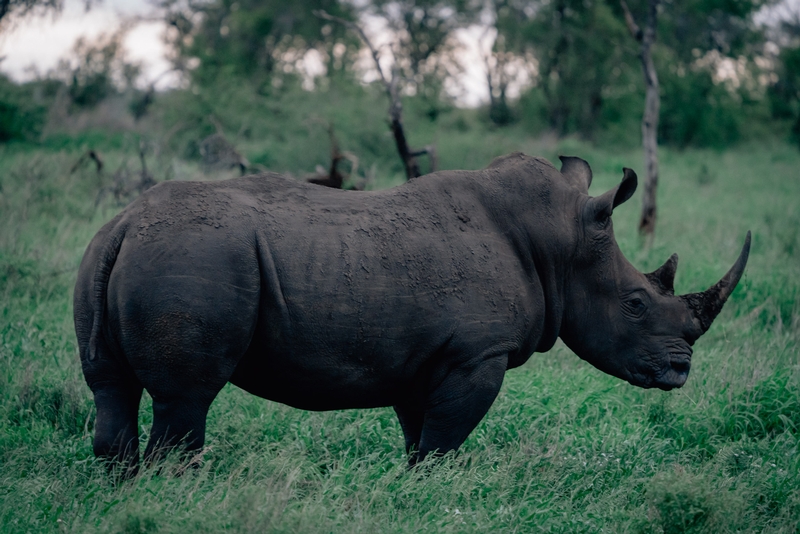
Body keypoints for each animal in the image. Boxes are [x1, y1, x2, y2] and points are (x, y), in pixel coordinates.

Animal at [75, 153, 752, 472]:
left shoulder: (422, 359)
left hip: (114, 255)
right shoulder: (477, 355)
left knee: (111, 390)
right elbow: (443, 442)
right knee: (187, 398)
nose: (680, 371)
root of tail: (125, 223)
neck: (558, 243)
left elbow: (418, 439)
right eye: (636, 304)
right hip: (196, 257)